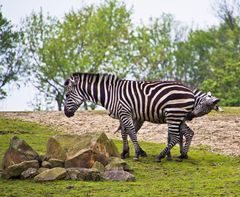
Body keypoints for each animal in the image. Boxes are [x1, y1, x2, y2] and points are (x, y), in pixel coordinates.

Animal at [62, 72, 220, 162]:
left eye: (67, 95)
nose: (66, 113)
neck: (111, 93)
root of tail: (188, 90)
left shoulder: (125, 112)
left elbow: (131, 132)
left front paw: (137, 154)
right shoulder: (124, 114)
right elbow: (125, 132)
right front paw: (125, 152)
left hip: (173, 115)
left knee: (176, 136)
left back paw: (161, 156)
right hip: (177, 116)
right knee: (186, 133)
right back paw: (180, 155)